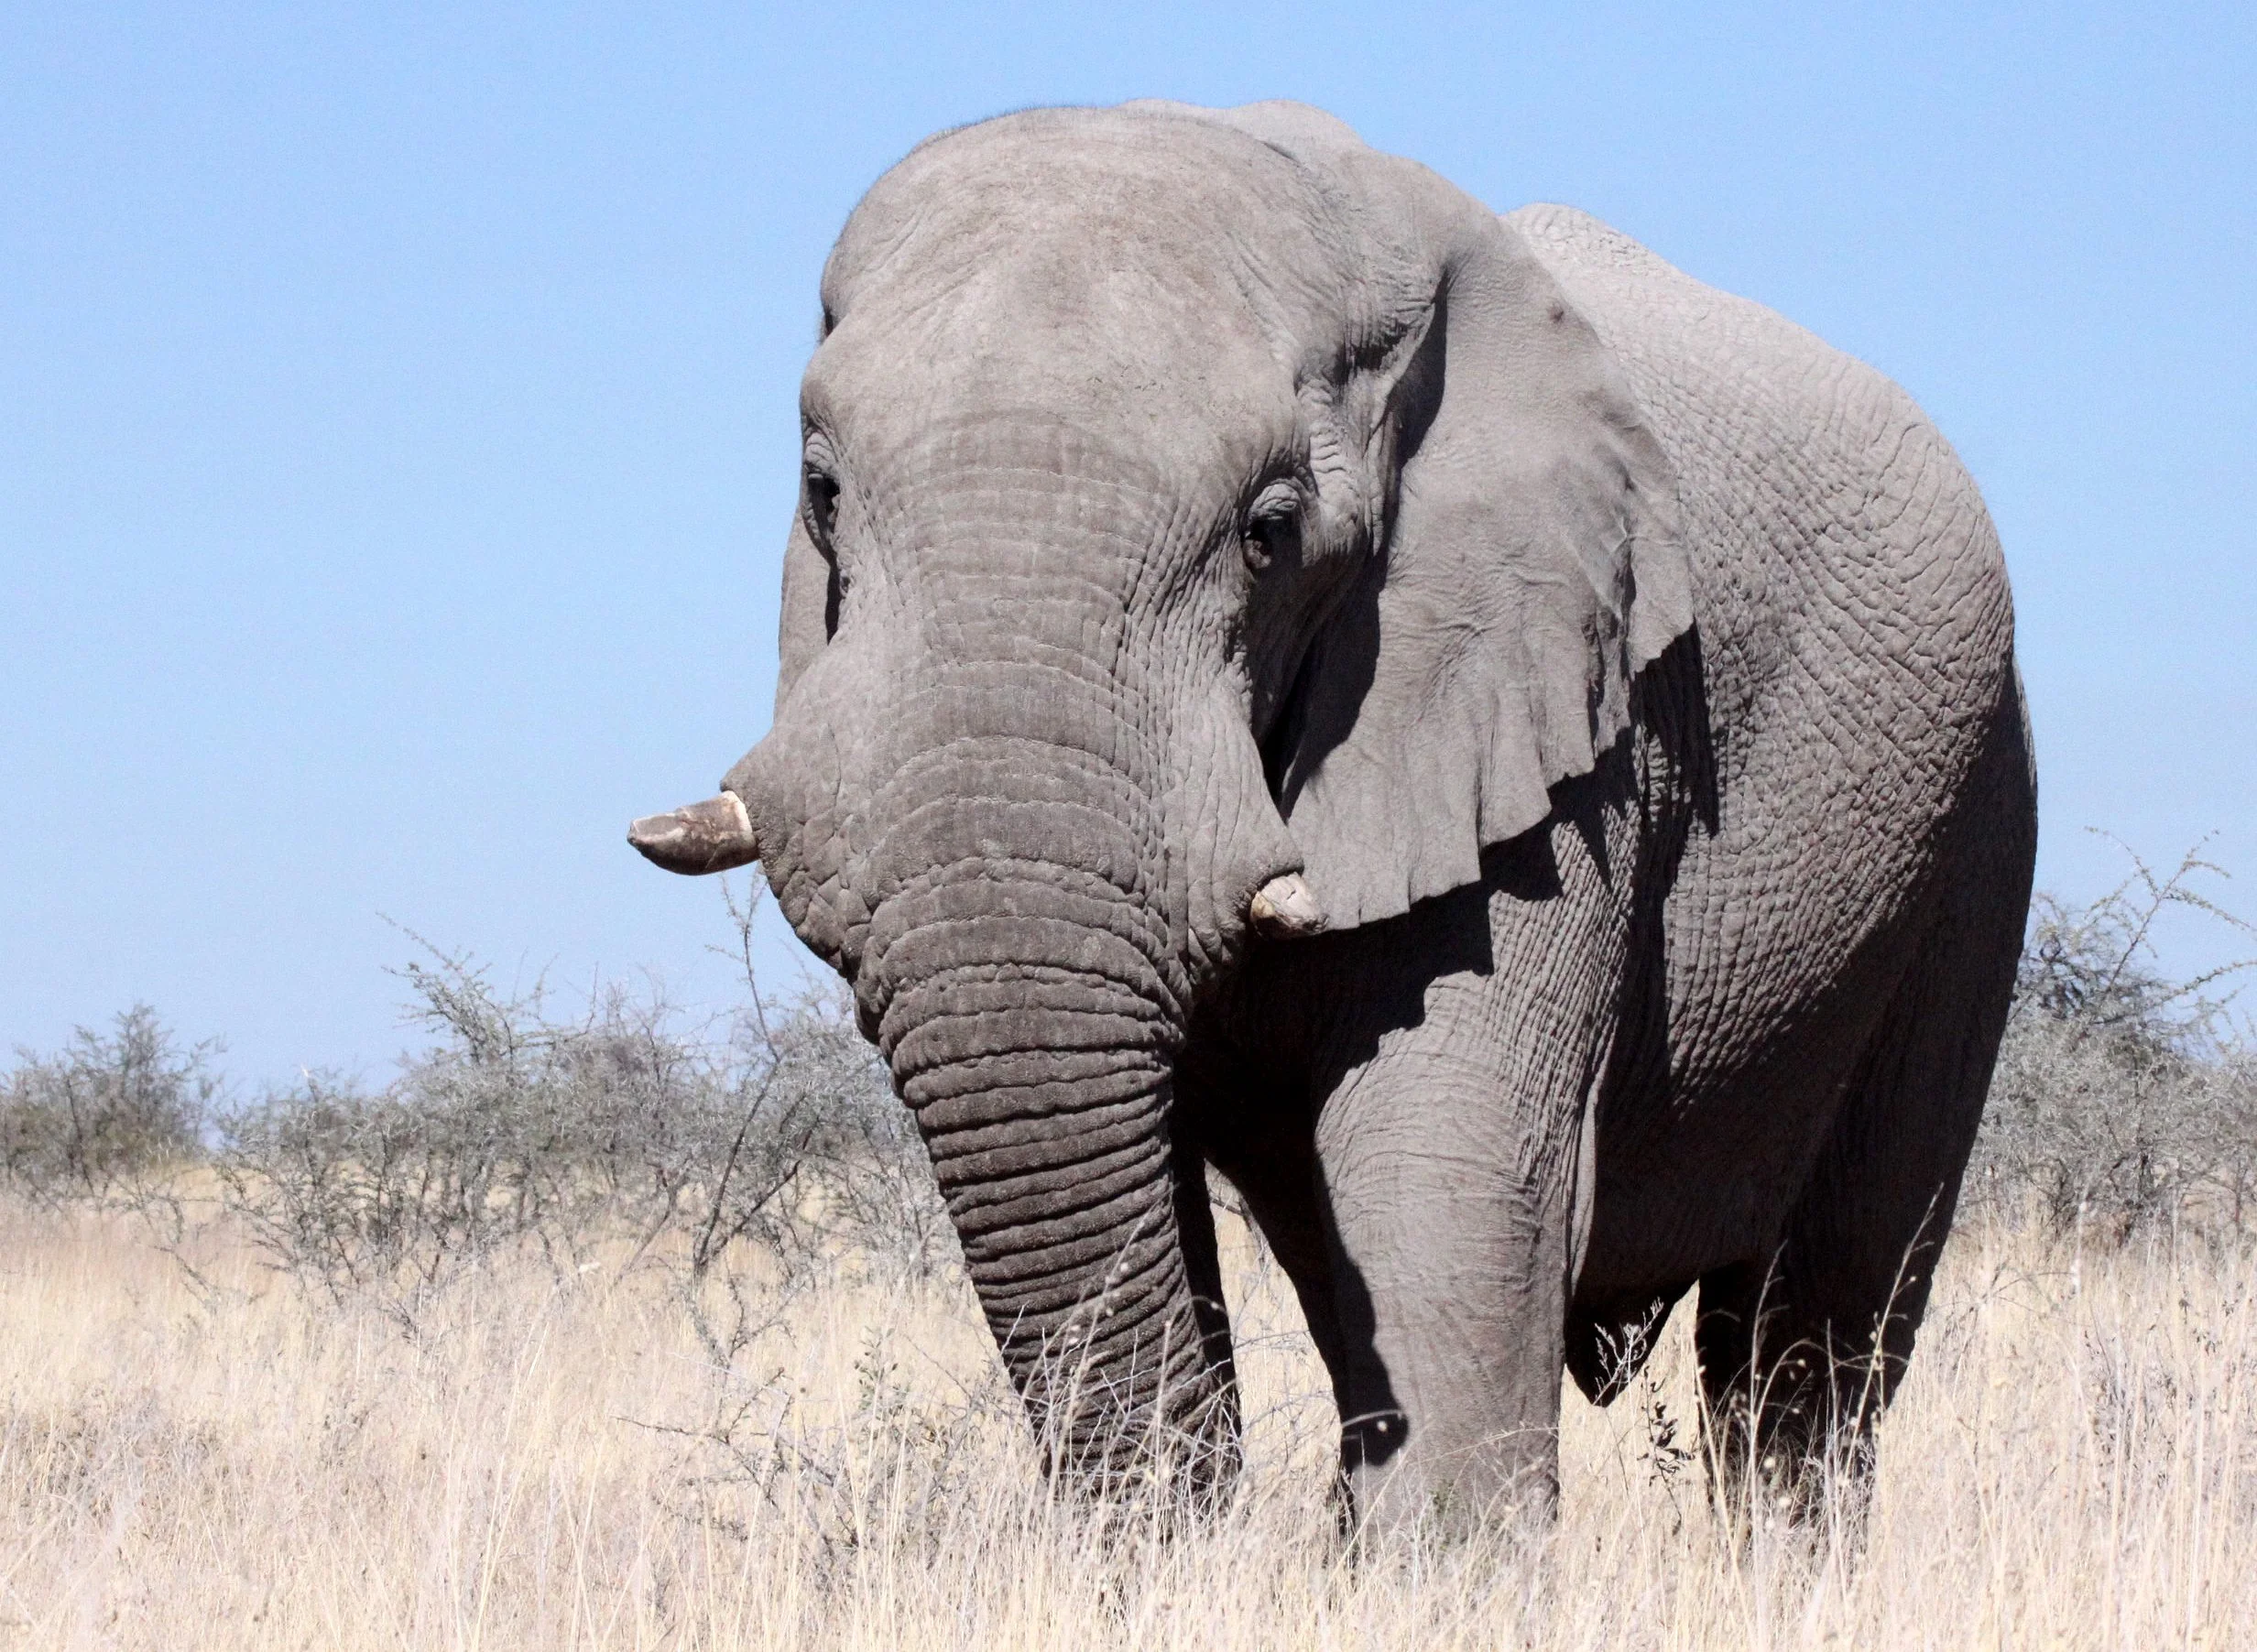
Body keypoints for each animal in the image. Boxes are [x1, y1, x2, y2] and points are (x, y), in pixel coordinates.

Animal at [628, 100, 2036, 1532]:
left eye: (1270, 530)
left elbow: (1441, 1183)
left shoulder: (1560, 737)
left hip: (1975, 829)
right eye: (821, 495)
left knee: (1807, 1342)